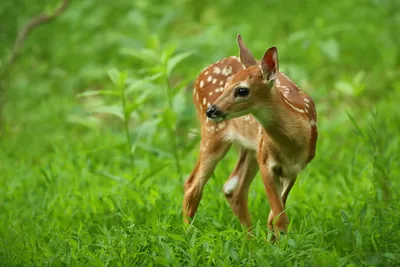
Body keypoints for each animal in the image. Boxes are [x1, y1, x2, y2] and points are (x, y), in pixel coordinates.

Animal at [184, 34, 318, 240]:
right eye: (226, 86)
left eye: (242, 90)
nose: (212, 110)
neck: (292, 144)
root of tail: (200, 75)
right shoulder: (266, 162)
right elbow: (280, 218)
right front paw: (280, 244)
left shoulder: (295, 169)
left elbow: (275, 214)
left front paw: (274, 242)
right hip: (213, 134)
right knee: (192, 184)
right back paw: (188, 234)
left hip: (249, 147)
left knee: (233, 189)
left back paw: (250, 239)